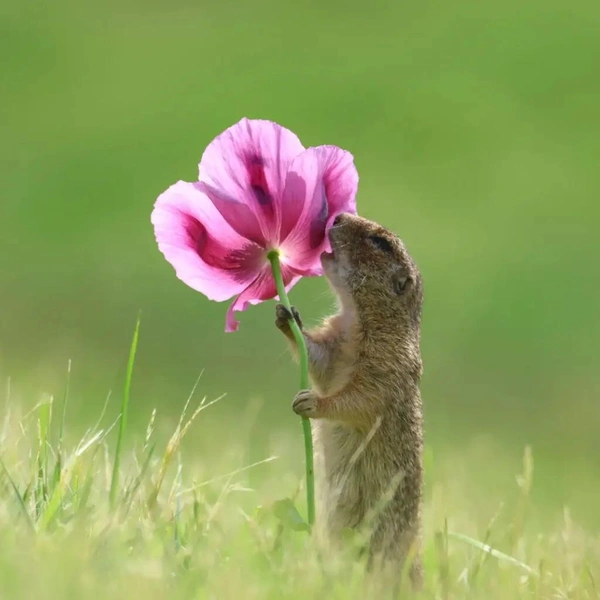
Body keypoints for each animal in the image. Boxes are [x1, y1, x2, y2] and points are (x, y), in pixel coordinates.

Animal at [274, 213, 424, 588]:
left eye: (380, 242)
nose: (338, 216)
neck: (356, 316)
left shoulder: (386, 364)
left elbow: (359, 399)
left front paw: (311, 403)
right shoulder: (334, 344)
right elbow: (318, 359)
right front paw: (287, 317)